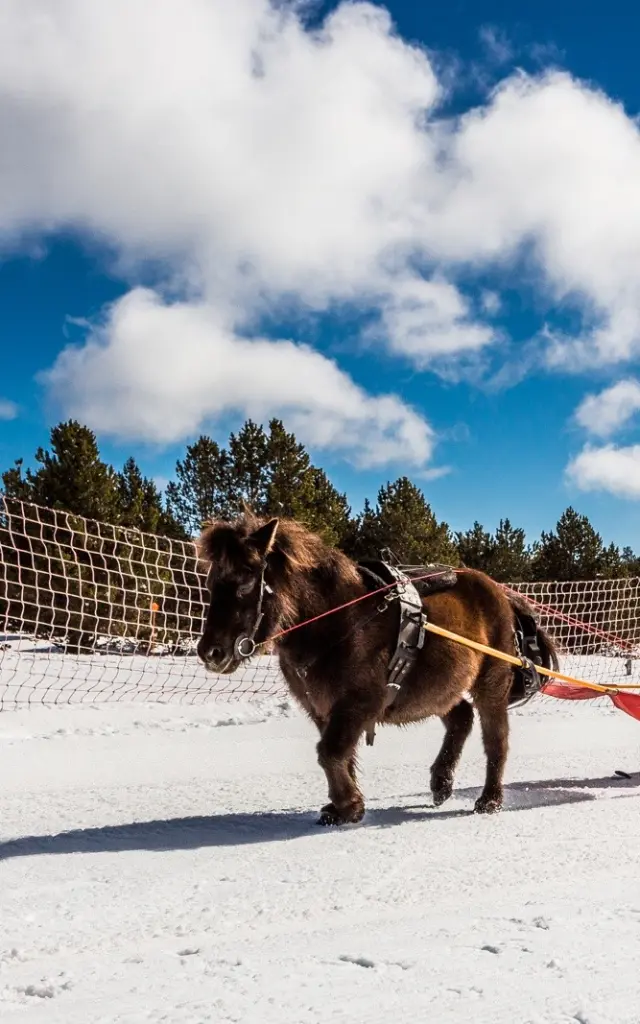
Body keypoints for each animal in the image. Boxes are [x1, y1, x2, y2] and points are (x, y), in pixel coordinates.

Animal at [196, 513, 559, 825]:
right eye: (212, 582)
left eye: (245, 581)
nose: (210, 651)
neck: (338, 621)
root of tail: (502, 594)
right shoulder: (322, 708)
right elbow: (340, 753)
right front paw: (342, 806)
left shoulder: (359, 702)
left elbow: (329, 751)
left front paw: (349, 805)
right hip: (439, 686)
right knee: (461, 718)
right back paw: (441, 782)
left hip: (491, 681)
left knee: (496, 737)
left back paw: (490, 799)